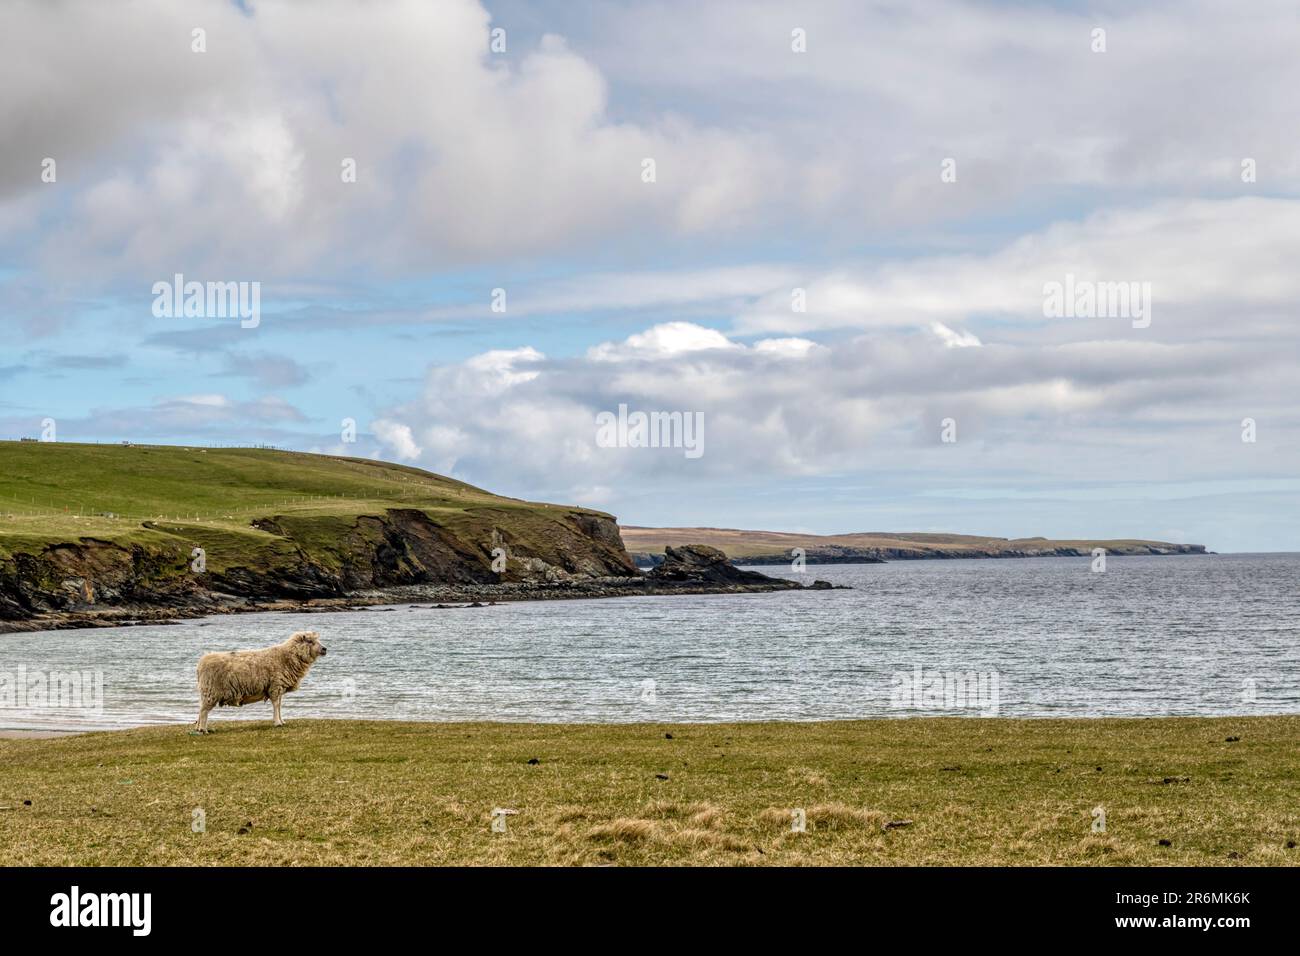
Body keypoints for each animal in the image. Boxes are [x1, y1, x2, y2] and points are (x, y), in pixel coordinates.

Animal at [194, 630, 327, 733]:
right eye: (310, 641)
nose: (325, 649)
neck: (286, 657)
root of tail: (200, 664)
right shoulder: (275, 686)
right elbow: (276, 705)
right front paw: (277, 723)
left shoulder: (278, 688)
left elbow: (279, 705)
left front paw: (282, 721)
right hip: (211, 691)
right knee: (204, 711)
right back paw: (203, 729)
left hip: (206, 691)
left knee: (200, 709)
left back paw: (198, 728)